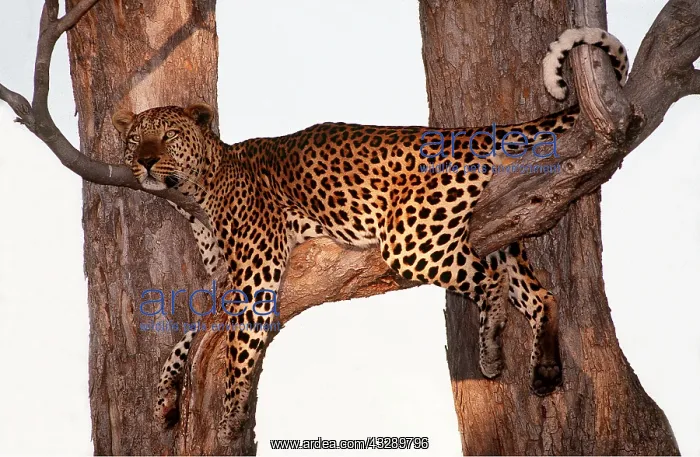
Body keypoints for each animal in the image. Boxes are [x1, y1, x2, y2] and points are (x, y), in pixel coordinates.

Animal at [111, 27, 628, 442]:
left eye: (168, 137)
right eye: (136, 139)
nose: (146, 161)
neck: (195, 195)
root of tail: (464, 132)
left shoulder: (254, 279)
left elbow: (237, 349)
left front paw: (228, 417)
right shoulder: (224, 283)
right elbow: (187, 335)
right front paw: (164, 397)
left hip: (411, 238)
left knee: (490, 283)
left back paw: (492, 348)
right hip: (499, 220)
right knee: (539, 293)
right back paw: (544, 369)